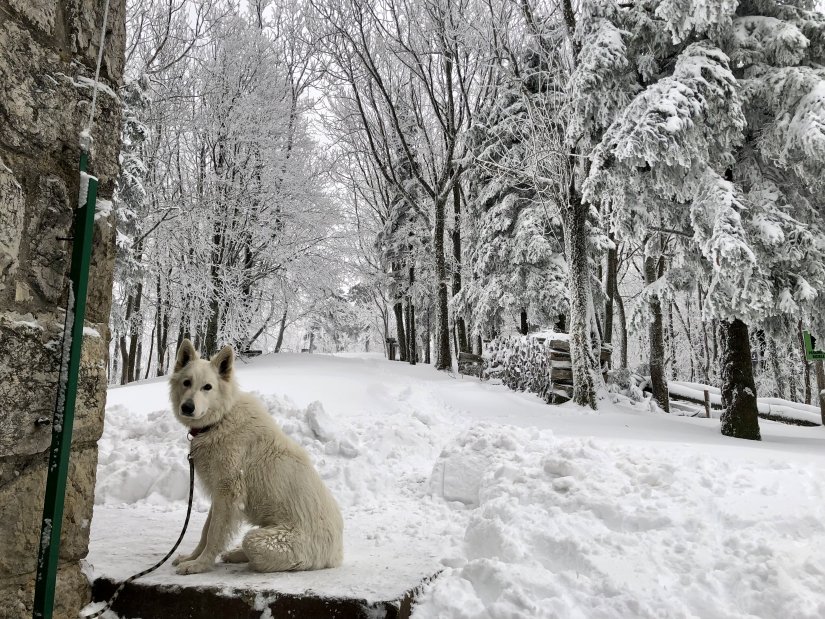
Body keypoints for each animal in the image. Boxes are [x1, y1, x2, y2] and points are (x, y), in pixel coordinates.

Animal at [169, 342, 342, 572]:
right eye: (186, 382)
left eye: (207, 387)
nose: (187, 407)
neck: (221, 420)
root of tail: (338, 553)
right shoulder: (219, 494)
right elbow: (206, 532)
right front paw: (192, 557)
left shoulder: (227, 493)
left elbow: (213, 534)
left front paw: (200, 565)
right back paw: (233, 554)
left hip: (260, 539)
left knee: (258, 551)